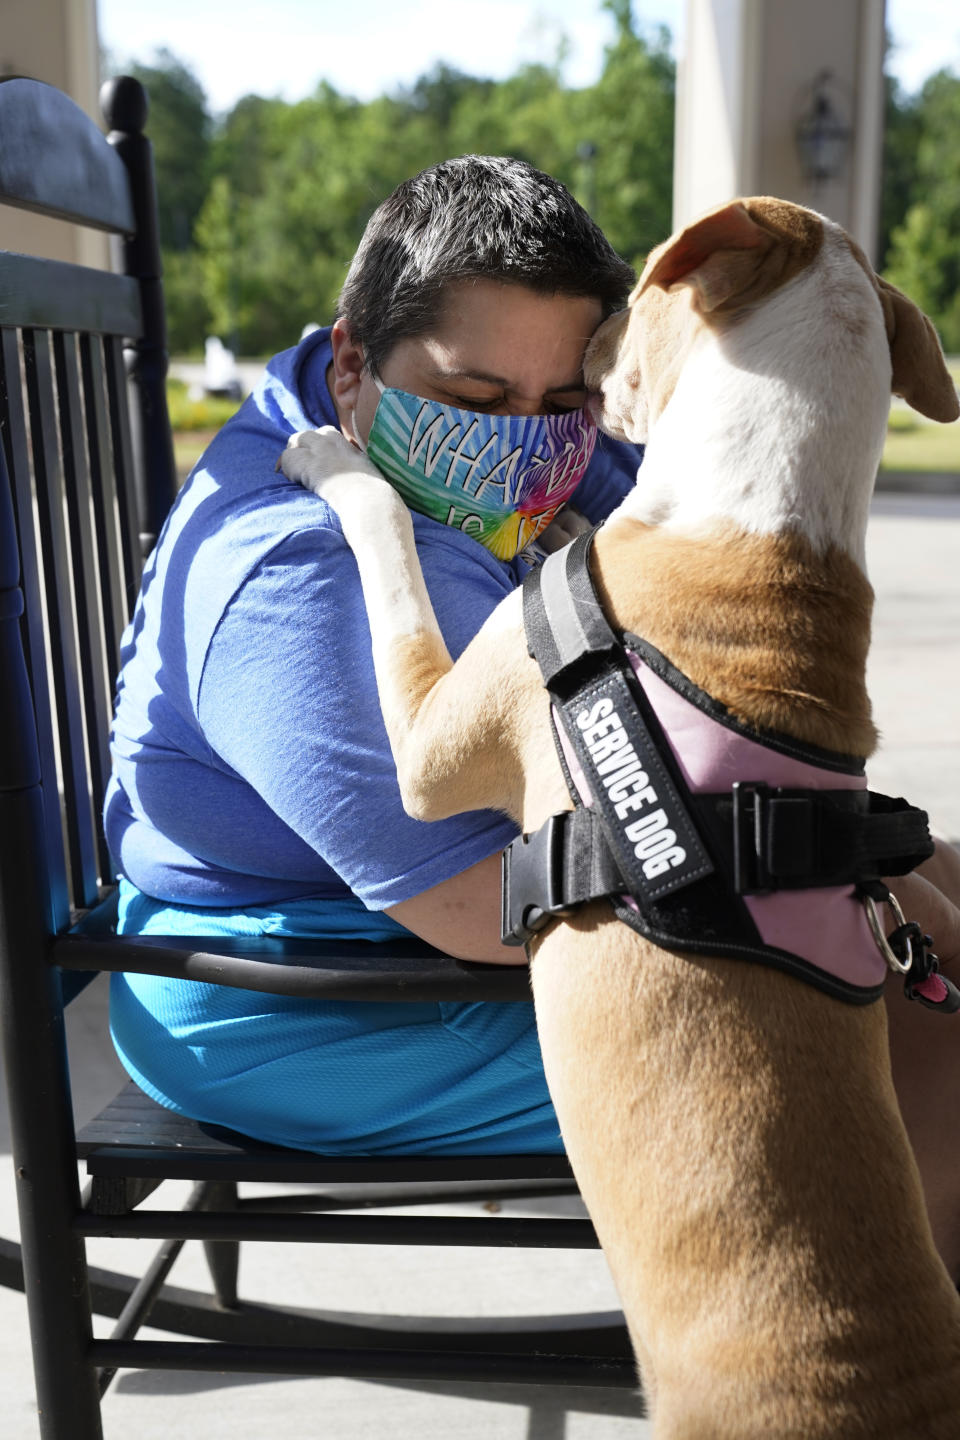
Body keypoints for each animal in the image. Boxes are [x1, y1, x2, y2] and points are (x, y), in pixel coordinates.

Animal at [283, 197, 960, 1434]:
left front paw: (333, 458)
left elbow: (390, 544)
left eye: (633, 291)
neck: (759, 515)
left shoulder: (436, 735)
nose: (591, 343)